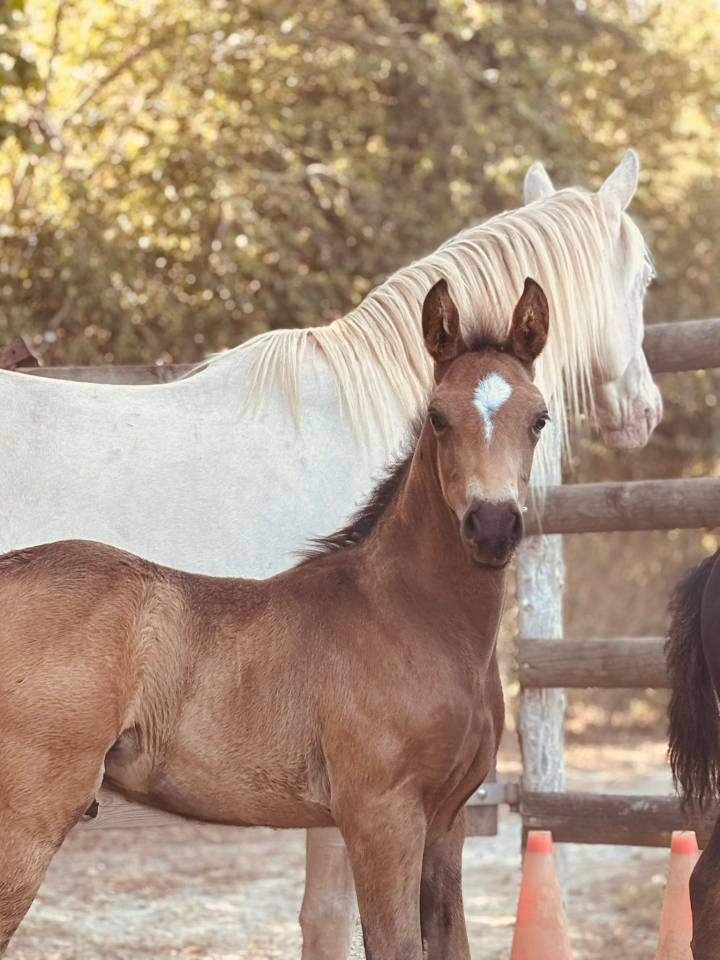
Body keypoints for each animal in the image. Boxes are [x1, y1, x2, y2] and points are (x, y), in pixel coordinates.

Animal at [0, 151, 661, 959]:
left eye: (537, 418)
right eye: (436, 417)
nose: (493, 525)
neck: (407, 612)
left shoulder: (444, 823)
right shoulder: (376, 813)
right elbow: (348, 925)